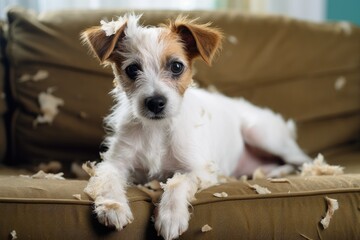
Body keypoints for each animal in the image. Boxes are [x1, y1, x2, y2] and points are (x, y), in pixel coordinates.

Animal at [81, 14, 312, 239]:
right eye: (132, 69)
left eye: (176, 66)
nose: (155, 103)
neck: (157, 129)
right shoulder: (115, 163)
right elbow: (108, 179)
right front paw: (113, 206)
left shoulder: (199, 170)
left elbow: (178, 182)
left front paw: (171, 216)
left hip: (260, 134)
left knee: (302, 160)